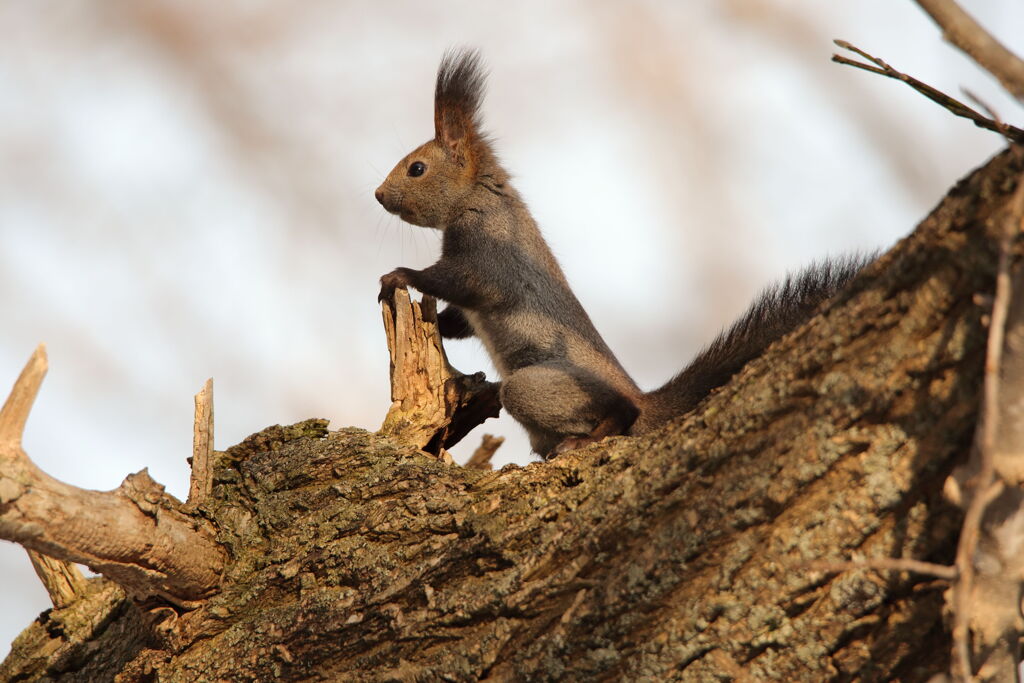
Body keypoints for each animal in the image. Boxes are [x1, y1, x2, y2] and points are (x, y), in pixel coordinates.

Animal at [376, 52, 872, 458]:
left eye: (417, 168)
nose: (378, 195)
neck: (477, 199)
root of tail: (642, 398)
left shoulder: (488, 254)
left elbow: (455, 281)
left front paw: (399, 276)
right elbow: (461, 317)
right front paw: (434, 316)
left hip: (545, 385)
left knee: (612, 413)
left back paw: (591, 435)